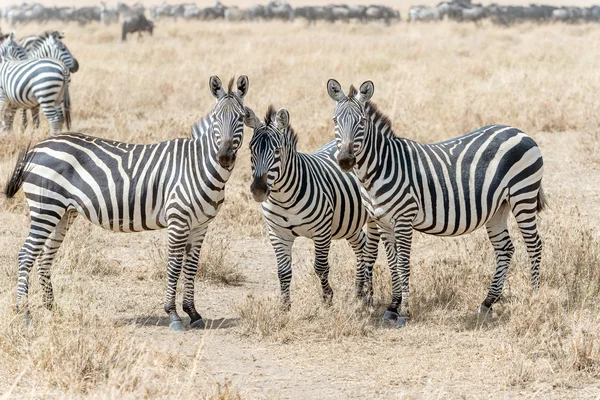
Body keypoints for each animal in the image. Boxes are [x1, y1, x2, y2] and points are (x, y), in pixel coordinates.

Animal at [3, 75, 250, 332]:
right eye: (215, 118)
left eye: (241, 118)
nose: (224, 157)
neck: (198, 165)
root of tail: (38, 146)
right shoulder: (178, 220)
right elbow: (174, 266)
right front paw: (173, 314)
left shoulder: (201, 225)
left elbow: (191, 268)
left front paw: (193, 313)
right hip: (46, 208)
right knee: (26, 254)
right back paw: (25, 313)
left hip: (63, 212)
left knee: (45, 256)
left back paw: (52, 309)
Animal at [246, 104, 392, 304]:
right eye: (250, 149)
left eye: (277, 151)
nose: (259, 190)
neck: (283, 198)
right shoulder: (278, 234)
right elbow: (283, 272)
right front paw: (284, 306)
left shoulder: (321, 232)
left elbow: (321, 267)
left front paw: (327, 300)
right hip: (349, 222)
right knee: (361, 245)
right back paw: (358, 291)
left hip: (373, 217)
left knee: (370, 251)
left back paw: (367, 294)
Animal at [326, 79, 548, 328]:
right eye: (335, 121)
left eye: (362, 122)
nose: (345, 161)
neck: (381, 167)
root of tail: (519, 131)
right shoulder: (382, 222)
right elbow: (392, 264)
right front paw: (392, 307)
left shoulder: (404, 219)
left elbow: (403, 264)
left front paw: (404, 312)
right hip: (498, 208)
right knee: (505, 248)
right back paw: (488, 302)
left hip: (523, 195)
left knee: (534, 244)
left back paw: (534, 296)